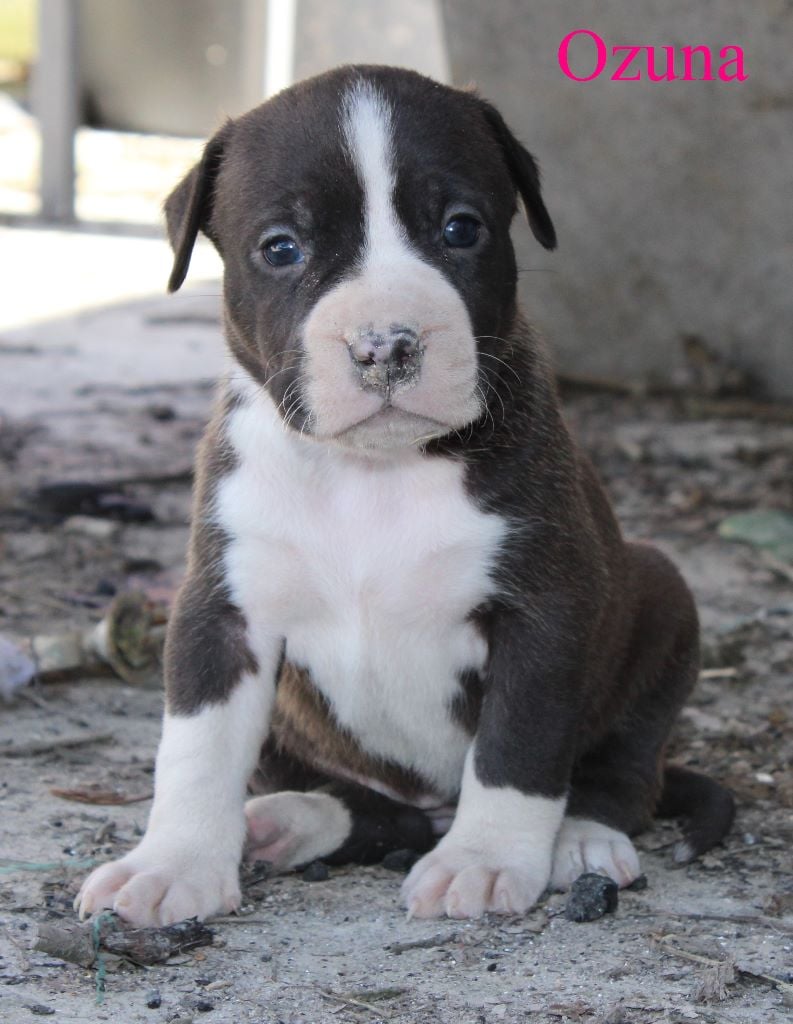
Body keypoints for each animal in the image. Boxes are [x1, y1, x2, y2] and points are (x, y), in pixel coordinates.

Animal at [75, 65, 734, 926]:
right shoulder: (220, 610)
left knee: (625, 770)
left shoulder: (543, 609)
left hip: (660, 594)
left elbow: (517, 746)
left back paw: (581, 835)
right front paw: (170, 863)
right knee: (378, 811)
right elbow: (197, 747)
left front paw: (485, 859)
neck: (371, 473)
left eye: (460, 229)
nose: (385, 344)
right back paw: (294, 821)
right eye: (281, 248)